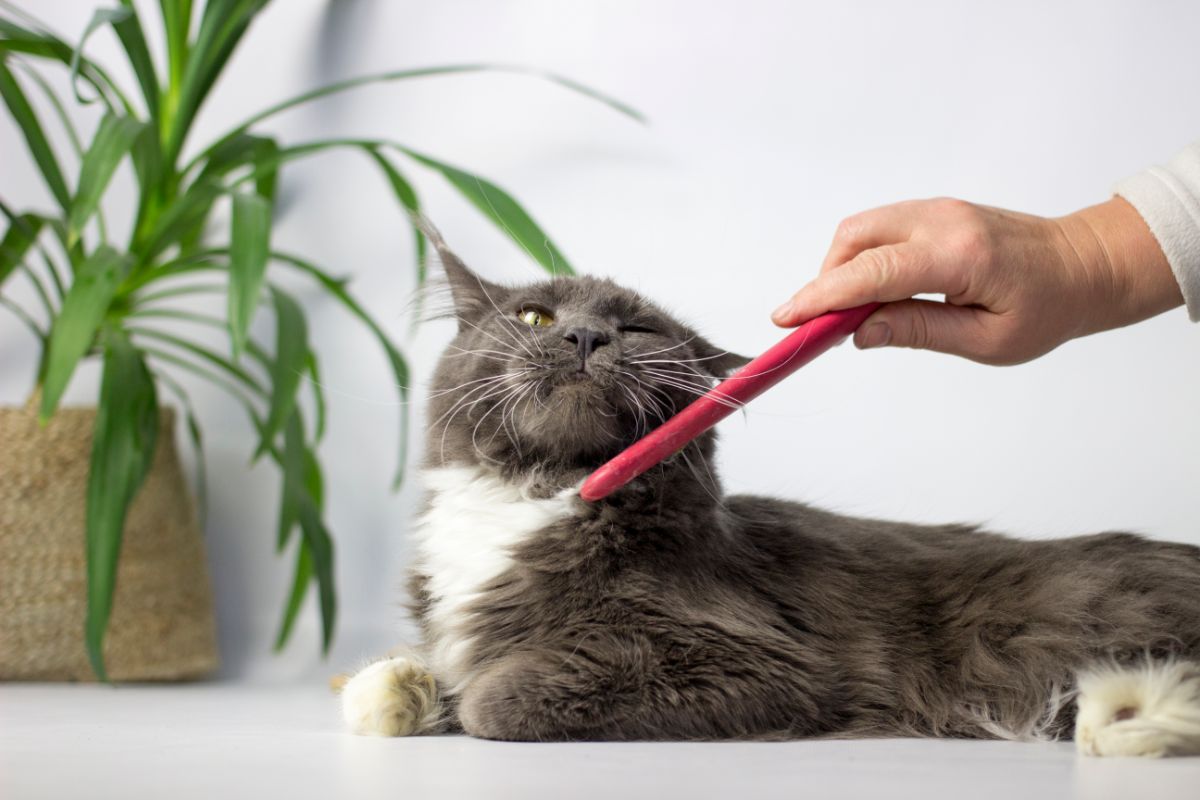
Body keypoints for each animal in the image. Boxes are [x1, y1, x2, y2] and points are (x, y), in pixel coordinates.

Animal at [336, 226, 1200, 758]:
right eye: (535, 316)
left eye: (638, 329)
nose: (584, 336)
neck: (536, 495)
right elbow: (425, 669)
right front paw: (392, 692)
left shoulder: (761, 662)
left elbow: (496, 694)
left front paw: (461, 694)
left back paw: (1128, 716)